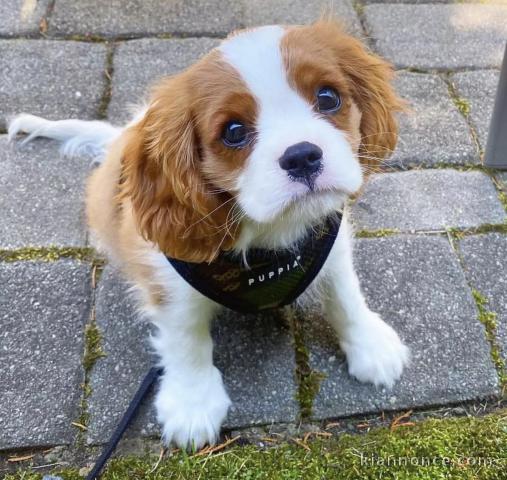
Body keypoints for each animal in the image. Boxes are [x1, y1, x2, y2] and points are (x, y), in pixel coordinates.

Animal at [9, 19, 410, 446]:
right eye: (234, 131)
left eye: (328, 97)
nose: (302, 155)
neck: (270, 234)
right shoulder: (168, 278)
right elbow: (186, 337)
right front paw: (192, 402)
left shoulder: (329, 244)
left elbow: (344, 294)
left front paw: (370, 345)